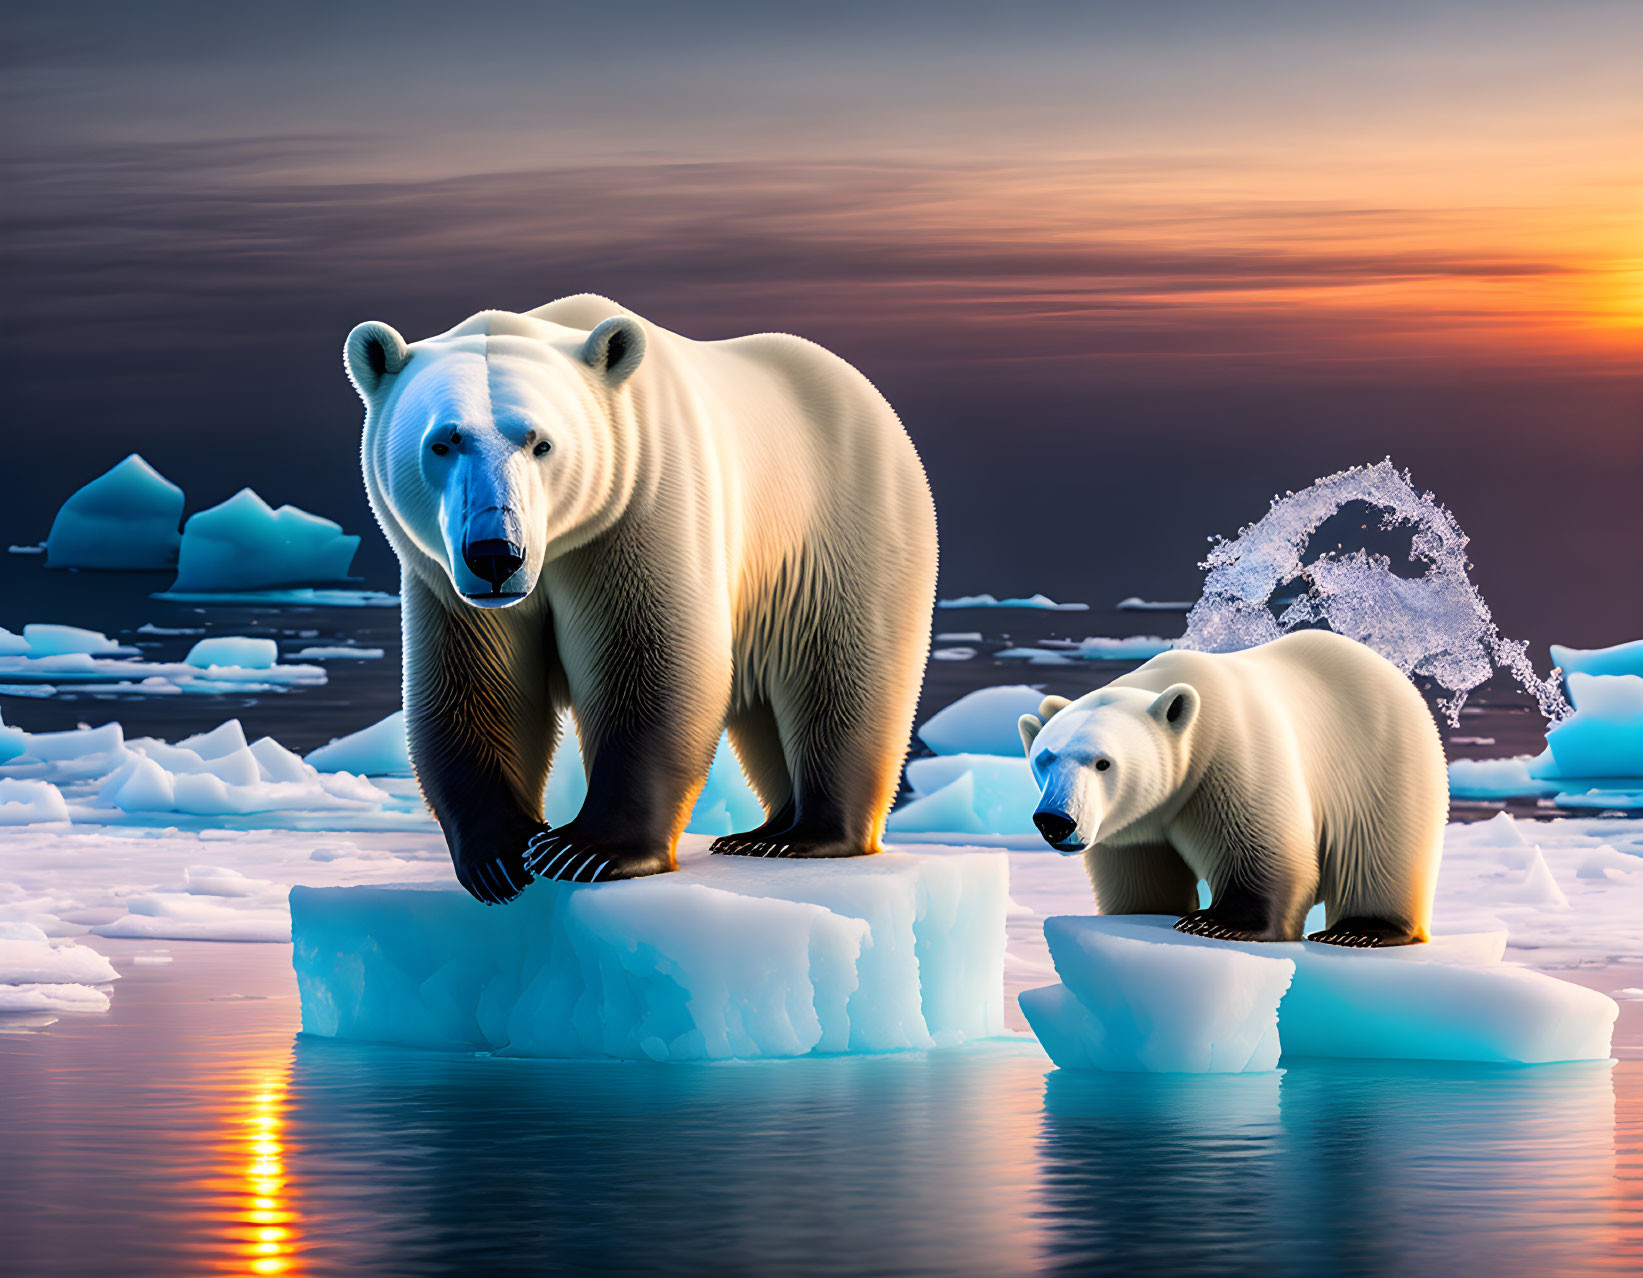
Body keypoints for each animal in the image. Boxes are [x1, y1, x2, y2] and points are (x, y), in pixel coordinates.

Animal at [343, 295, 939, 900]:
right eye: (443, 442)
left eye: (541, 443)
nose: (496, 555)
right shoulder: (444, 579)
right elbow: (475, 684)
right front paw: (502, 855)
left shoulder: (641, 508)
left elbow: (653, 667)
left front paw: (583, 850)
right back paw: (762, 831)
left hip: (838, 524)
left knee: (838, 670)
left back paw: (807, 835)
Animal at [1018, 630, 1445, 946]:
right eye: (1045, 759)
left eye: (1103, 762)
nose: (1055, 820)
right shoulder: (1133, 827)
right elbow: (1139, 876)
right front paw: (1145, 911)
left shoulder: (1231, 757)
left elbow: (1264, 847)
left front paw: (1216, 923)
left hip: (1382, 760)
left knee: (1381, 849)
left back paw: (1359, 931)